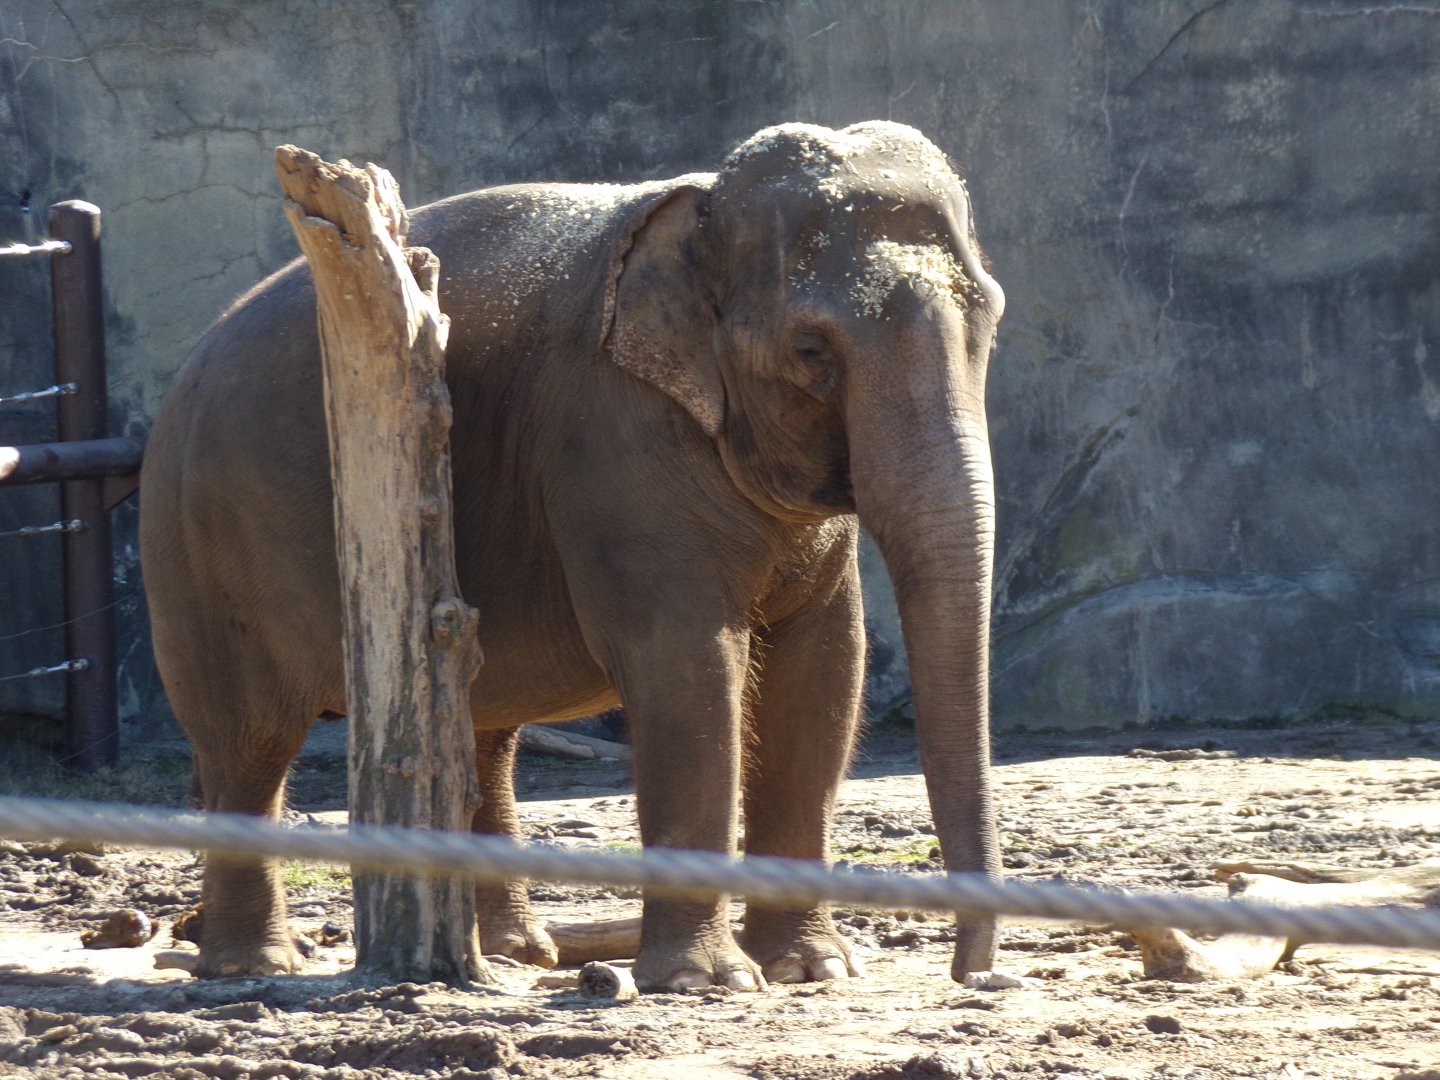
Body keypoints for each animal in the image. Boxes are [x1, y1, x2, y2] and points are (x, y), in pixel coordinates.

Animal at [139, 121, 1006, 992]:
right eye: (809, 350)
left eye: (991, 317)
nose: (972, 972)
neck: (699, 210)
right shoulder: (612, 434)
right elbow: (687, 668)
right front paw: (707, 982)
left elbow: (823, 673)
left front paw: (810, 969)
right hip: (199, 542)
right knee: (249, 742)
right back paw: (255, 963)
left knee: (478, 731)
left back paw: (512, 954)